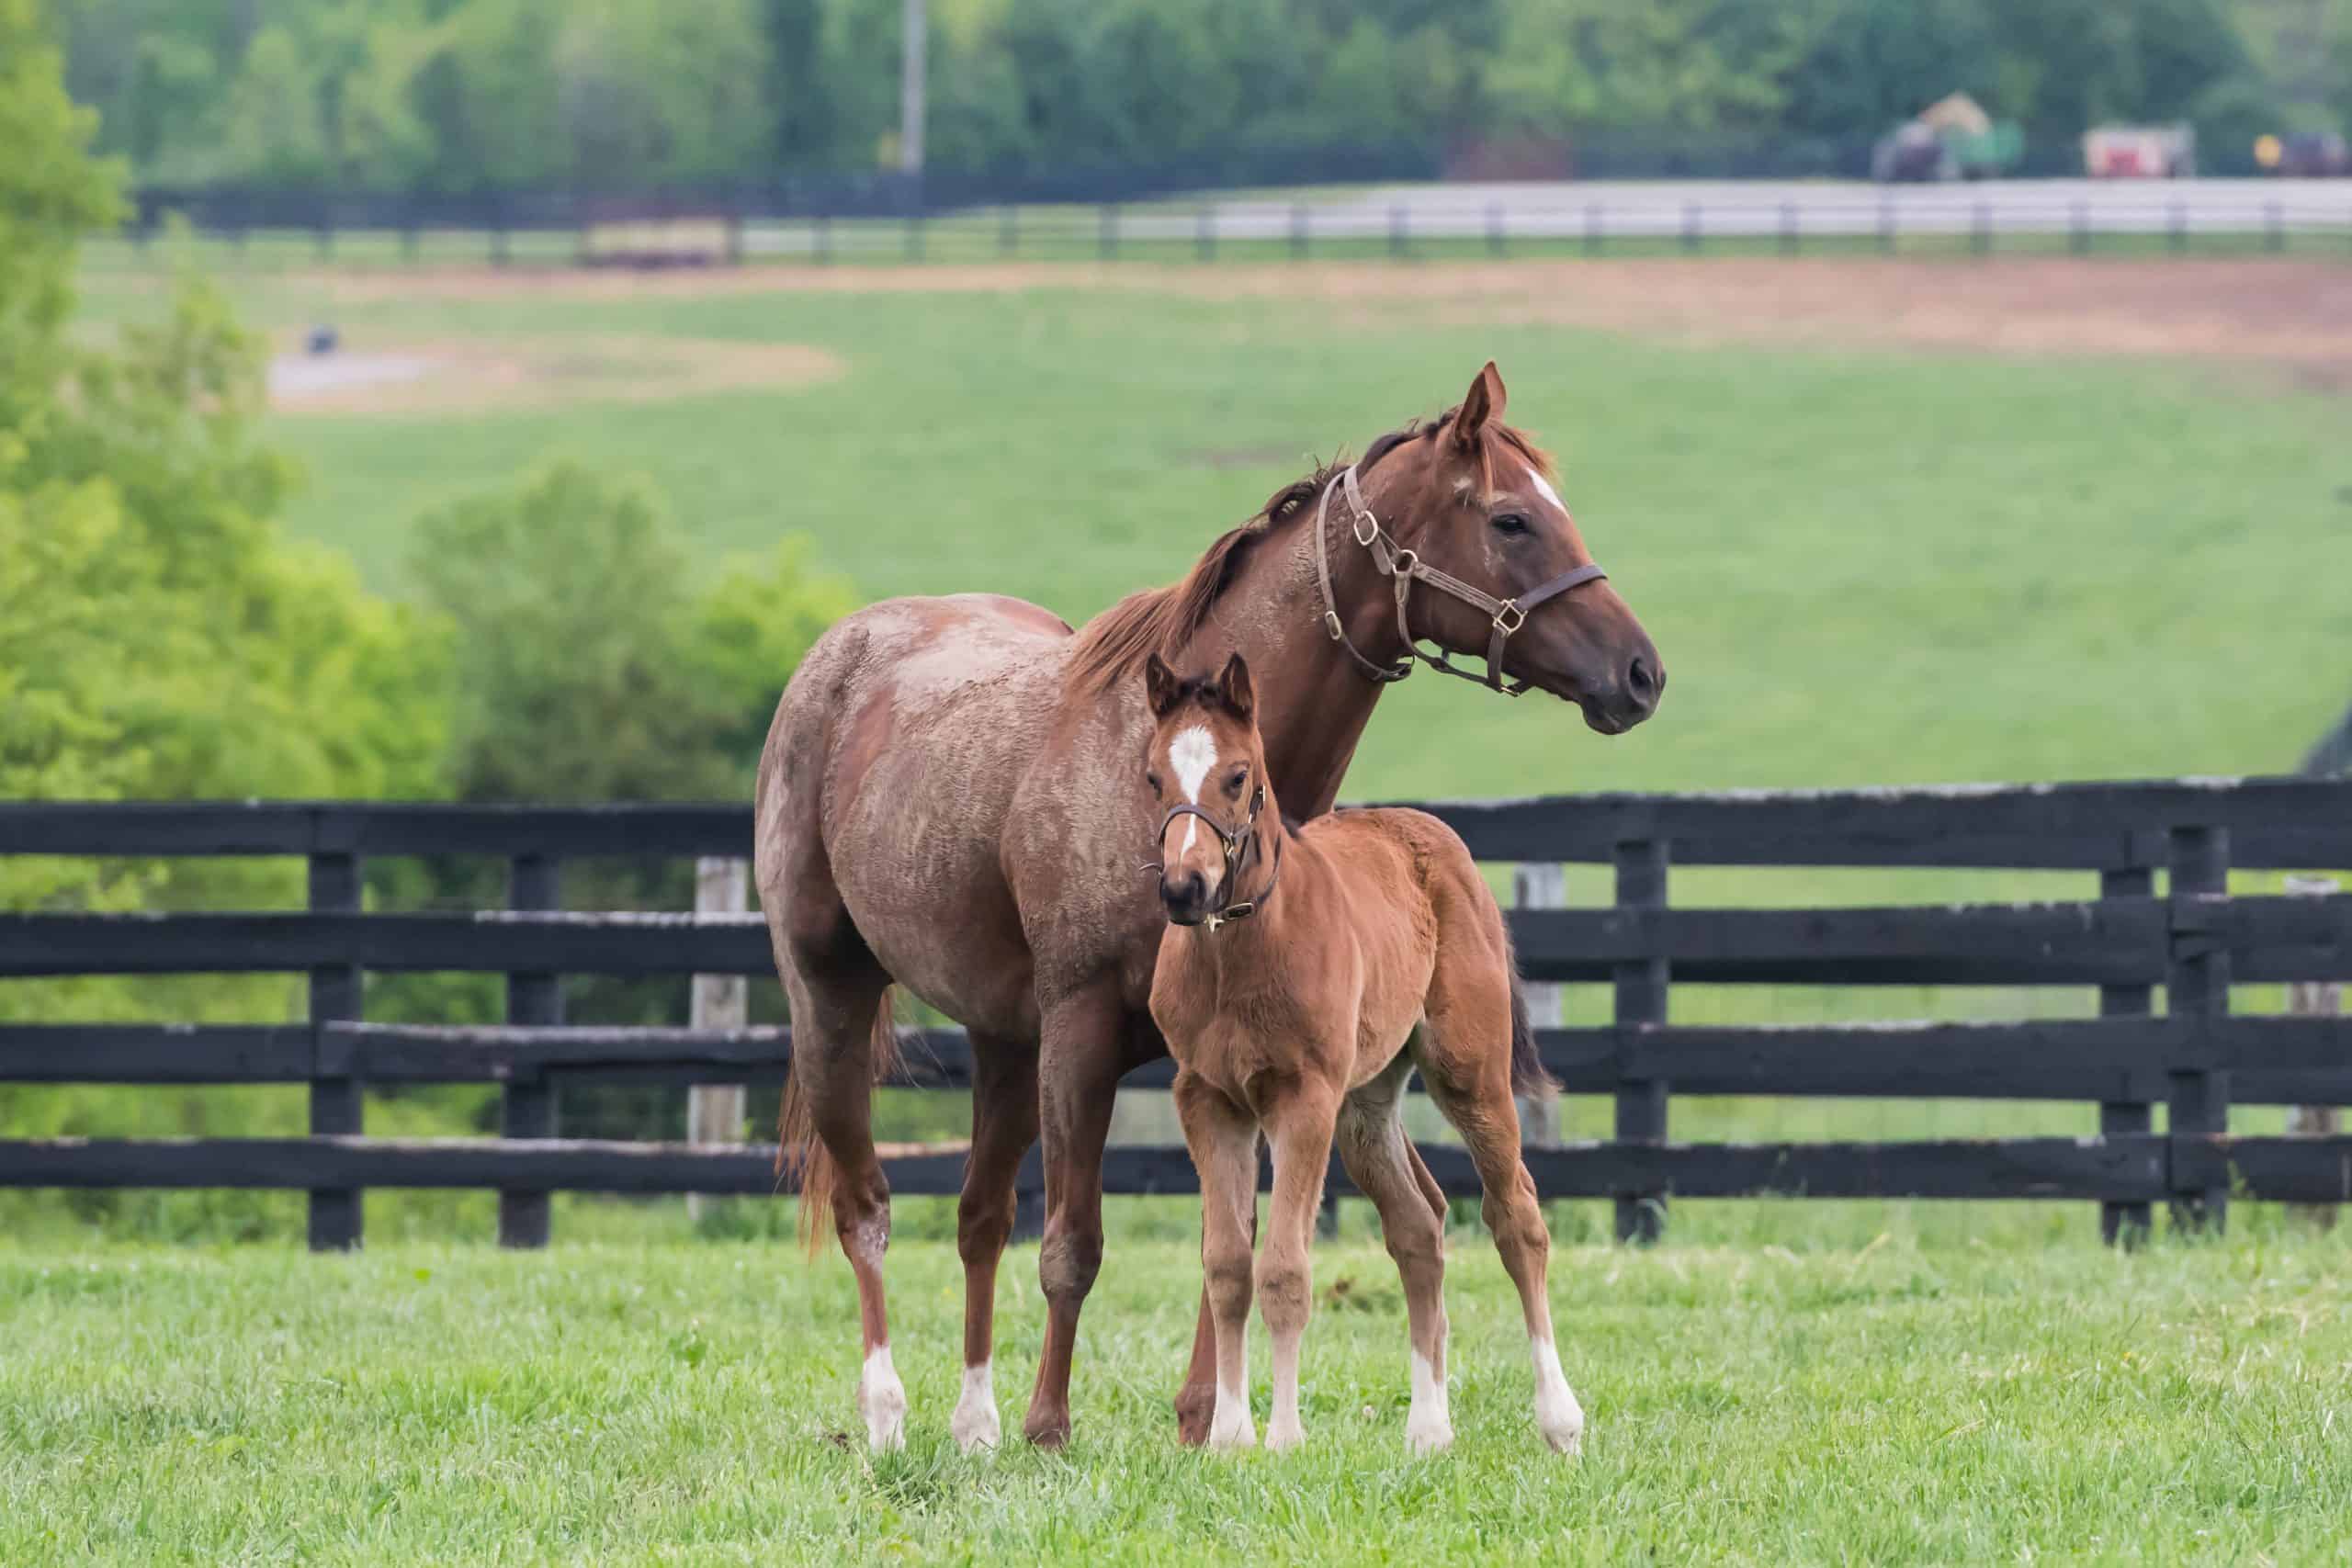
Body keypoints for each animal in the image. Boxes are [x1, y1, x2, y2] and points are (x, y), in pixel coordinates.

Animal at [1138, 649, 1580, 1457]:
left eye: (1239, 775)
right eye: (1154, 777)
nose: (1185, 888)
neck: (1241, 952)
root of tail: (1438, 838)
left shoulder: (1302, 1096)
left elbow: (1284, 1268)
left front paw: (1282, 1438)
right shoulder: (1208, 1098)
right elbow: (1227, 1265)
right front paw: (1227, 1437)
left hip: (1467, 1073)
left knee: (1518, 1218)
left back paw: (1559, 1418)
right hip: (1364, 1103)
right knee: (1419, 1225)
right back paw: (1429, 1428)